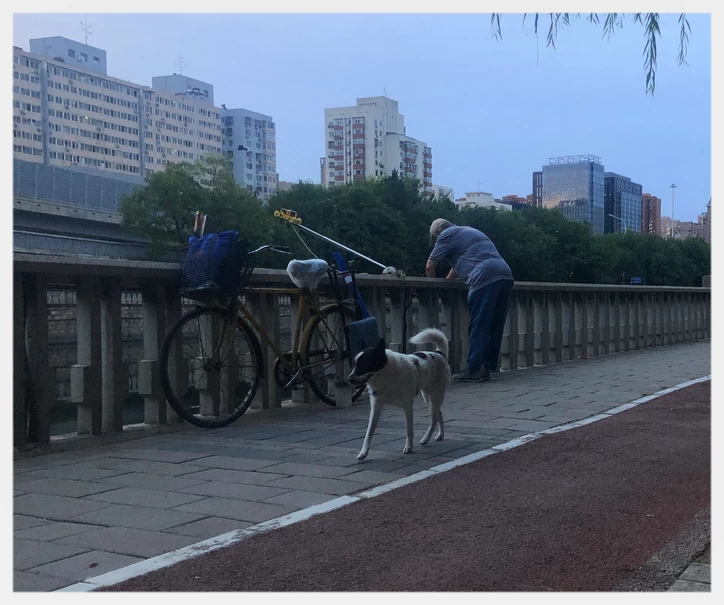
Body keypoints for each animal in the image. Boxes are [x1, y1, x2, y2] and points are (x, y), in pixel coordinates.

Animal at [348, 328, 450, 460]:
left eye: (363, 364)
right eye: (354, 364)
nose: (349, 379)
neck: (385, 376)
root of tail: (438, 353)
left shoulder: (407, 407)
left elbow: (409, 430)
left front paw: (409, 447)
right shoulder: (376, 407)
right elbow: (369, 432)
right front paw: (363, 453)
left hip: (435, 395)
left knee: (433, 419)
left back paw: (425, 439)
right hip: (428, 396)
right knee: (439, 414)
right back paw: (440, 435)